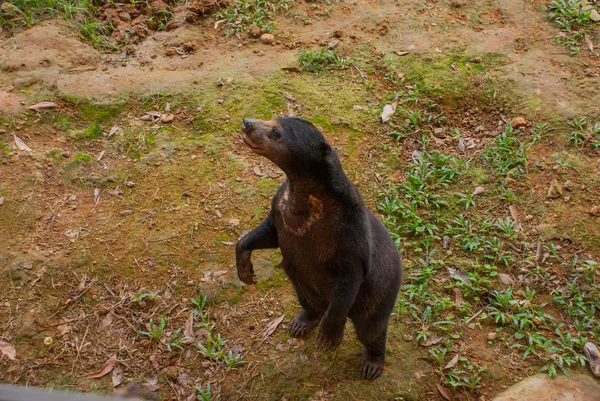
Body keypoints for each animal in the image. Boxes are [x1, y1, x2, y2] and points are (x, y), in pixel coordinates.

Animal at [236, 115, 404, 378]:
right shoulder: (281, 211)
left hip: (382, 291)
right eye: (272, 118)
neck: (305, 200)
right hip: (303, 284)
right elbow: (268, 235)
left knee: (372, 328)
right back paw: (301, 324)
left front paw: (328, 338)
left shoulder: (350, 235)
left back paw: (372, 365)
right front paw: (245, 270)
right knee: (309, 300)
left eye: (276, 132)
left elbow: (349, 279)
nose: (247, 122)